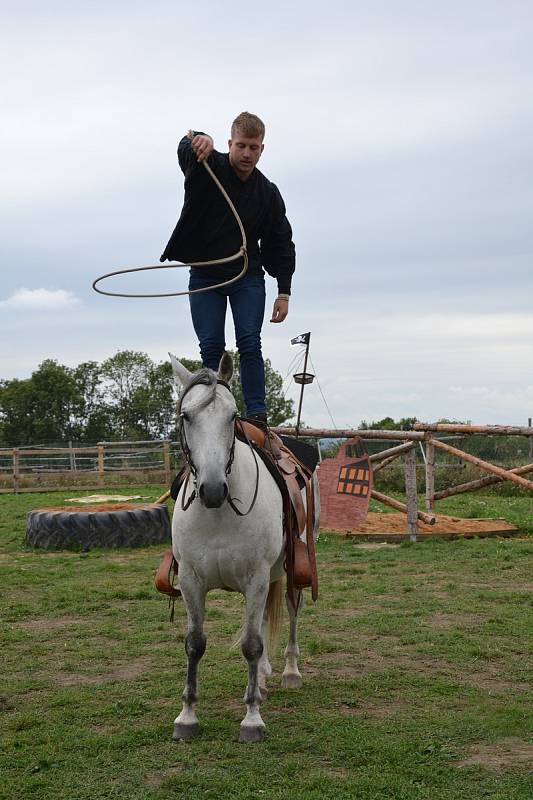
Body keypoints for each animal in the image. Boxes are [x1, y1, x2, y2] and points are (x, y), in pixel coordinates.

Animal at [168, 354, 318, 740]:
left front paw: (252, 719)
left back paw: (289, 672)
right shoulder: (191, 580)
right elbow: (195, 643)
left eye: (232, 416)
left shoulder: (256, 577)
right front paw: (187, 716)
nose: (212, 489)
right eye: (186, 416)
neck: (218, 512)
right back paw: (262, 678)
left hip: (290, 570)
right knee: (265, 617)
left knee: (292, 610)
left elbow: (251, 643)